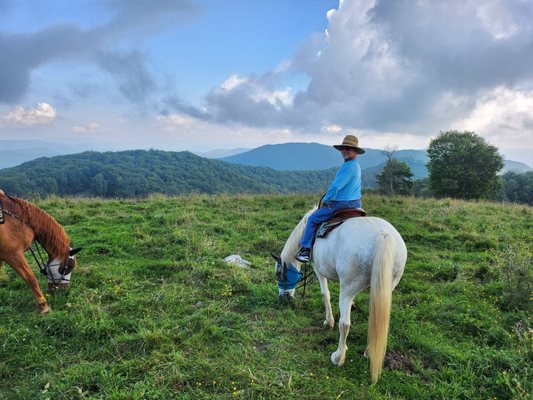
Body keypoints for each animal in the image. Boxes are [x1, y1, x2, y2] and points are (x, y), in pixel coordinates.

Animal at [272, 206, 406, 384]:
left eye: (279, 274)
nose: (283, 297)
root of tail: (383, 235)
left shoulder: (317, 268)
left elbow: (325, 294)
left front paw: (328, 322)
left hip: (347, 288)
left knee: (345, 324)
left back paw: (338, 357)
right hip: (386, 287)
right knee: (378, 318)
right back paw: (370, 350)